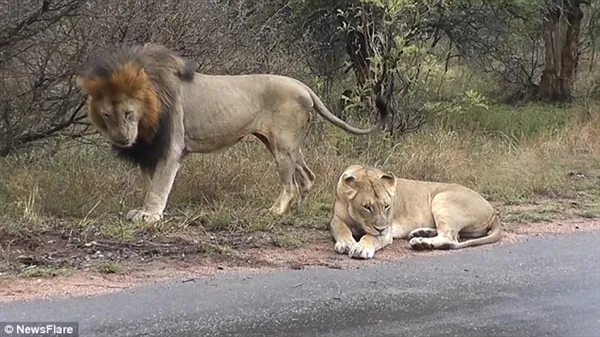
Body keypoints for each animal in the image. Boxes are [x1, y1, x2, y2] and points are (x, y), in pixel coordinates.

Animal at [76, 44, 390, 223]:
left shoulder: (170, 147)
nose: (122, 140)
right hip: (283, 144)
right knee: (307, 176)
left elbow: (158, 187)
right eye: (107, 115)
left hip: (282, 145)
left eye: (129, 113)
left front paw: (150, 216)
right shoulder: (148, 149)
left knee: (290, 183)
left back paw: (276, 211)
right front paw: (142, 211)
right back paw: (297, 209)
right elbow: (150, 183)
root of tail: (304, 87)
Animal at [328, 164, 502, 258]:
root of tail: (493, 210)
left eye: (386, 206)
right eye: (367, 207)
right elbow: (342, 229)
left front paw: (361, 248)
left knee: (450, 238)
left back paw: (421, 242)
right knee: (455, 235)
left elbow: (370, 237)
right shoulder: (336, 219)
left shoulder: (386, 232)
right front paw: (346, 243)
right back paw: (420, 233)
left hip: (442, 198)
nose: (381, 228)